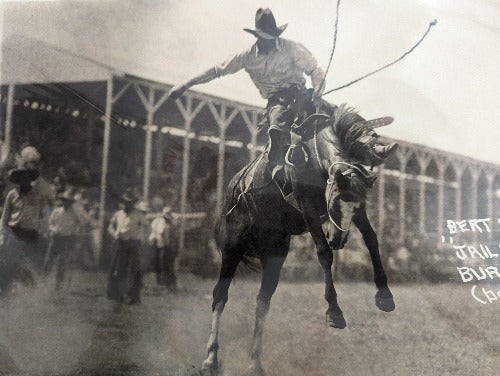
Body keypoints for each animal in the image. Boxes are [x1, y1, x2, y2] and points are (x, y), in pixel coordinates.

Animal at [199, 92, 394, 374]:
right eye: (333, 205)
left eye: (354, 206)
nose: (339, 239)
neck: (313, 154)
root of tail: (230, 193)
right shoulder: (308, 207)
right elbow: (323, 253)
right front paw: (334, 312)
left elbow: (371, 239)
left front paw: (385, 296)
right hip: (232, 250)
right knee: (219, 297)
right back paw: (211, 359)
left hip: (274, 256)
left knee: (262, 302)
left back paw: (255, 362)